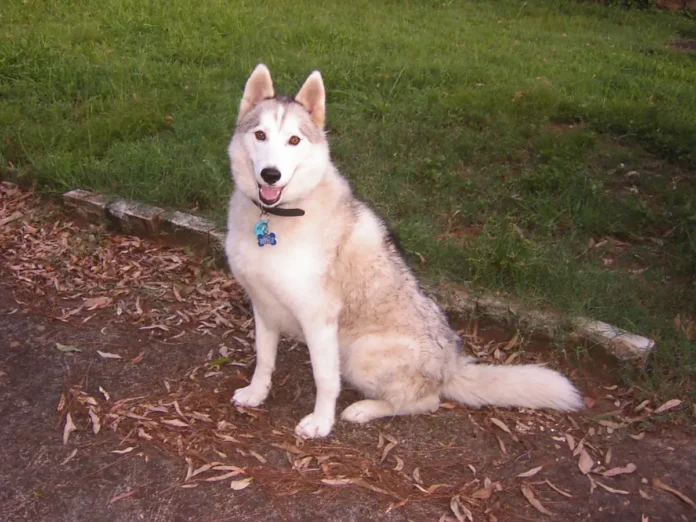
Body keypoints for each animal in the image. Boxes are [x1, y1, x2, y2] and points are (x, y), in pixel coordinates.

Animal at [224, 65, 580, 438]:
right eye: (260, 135)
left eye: (294, 140)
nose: (271, 174)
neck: (278, 217)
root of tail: (452, 366)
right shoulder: (263, 306)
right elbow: (264, 359)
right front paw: (256, 393)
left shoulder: (319, 320)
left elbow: (325, 380)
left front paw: (321, 422)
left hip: (361, 353)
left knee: (424, 402)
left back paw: (364, 409)